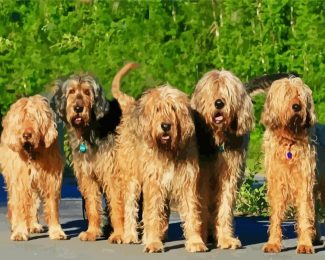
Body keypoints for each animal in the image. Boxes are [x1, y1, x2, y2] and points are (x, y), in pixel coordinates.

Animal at [0, 95, 66, 242]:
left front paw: (56, 231)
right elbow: (19, 206)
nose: (26, 135)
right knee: (15, 203)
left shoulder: (51, 179)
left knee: (33, 203)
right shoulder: (20, 181)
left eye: (35, 118)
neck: (32, 152)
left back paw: (34, 224)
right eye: (20, 120)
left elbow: (52, 207)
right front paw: (19, 232)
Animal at [112, 70, 205, 252]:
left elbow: (191, 212)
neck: (168, 151)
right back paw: (130, 235)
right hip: (131, 179)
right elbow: (152, 213)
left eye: (174, 109)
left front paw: (196, 242)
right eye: (157, 109)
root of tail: (132, 107)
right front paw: (154, 243)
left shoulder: (187, 183)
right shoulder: (154, 184)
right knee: (130, 207)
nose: (166, 126)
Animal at [190, 70, 253, 249]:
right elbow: (202, 207)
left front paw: (226, 239)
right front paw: (201, 237)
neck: (219, 139)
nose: (219, 103)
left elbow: (225, 206)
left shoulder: (230, 175)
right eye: (212, 89)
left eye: (228, 90)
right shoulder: (202, 176)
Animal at [260, 77, 316, 254]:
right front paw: (273, 243)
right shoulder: (277, 183)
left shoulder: (304, 182)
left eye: (300, 94)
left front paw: (305, 244)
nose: (297, 106)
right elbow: (276, 215)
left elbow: (304, 213)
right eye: (286, 94)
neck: (289, 142)